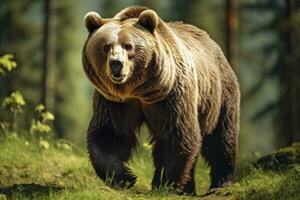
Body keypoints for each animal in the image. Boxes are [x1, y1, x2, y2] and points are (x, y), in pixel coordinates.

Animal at [81, 6, 239, 195]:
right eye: (106, 46)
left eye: (129, 46)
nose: (116, 63)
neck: (138, 90)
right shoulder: (115, 101)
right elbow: (109, 135)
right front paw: (124, 177)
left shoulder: (170, 96)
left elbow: (175, 136)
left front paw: (163, 184)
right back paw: (189, 188)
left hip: (219, 94)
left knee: (221, 138)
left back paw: (221, 182)